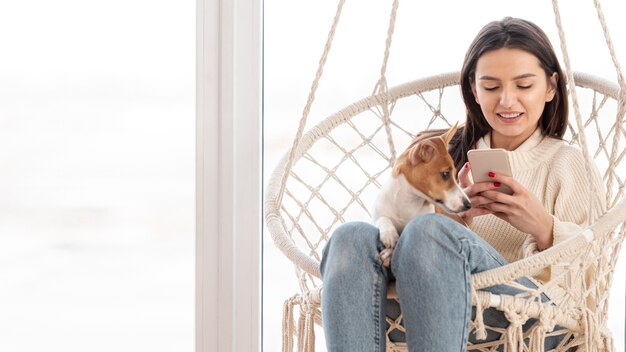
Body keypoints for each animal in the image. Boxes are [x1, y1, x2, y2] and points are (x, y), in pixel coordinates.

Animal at [370, 124, 468, 266]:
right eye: (445, 174)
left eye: (455, 175)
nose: (469, 204)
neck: (407, 202)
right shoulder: (377, 214)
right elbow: (382, 219)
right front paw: (389, 234)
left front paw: (389, 253)